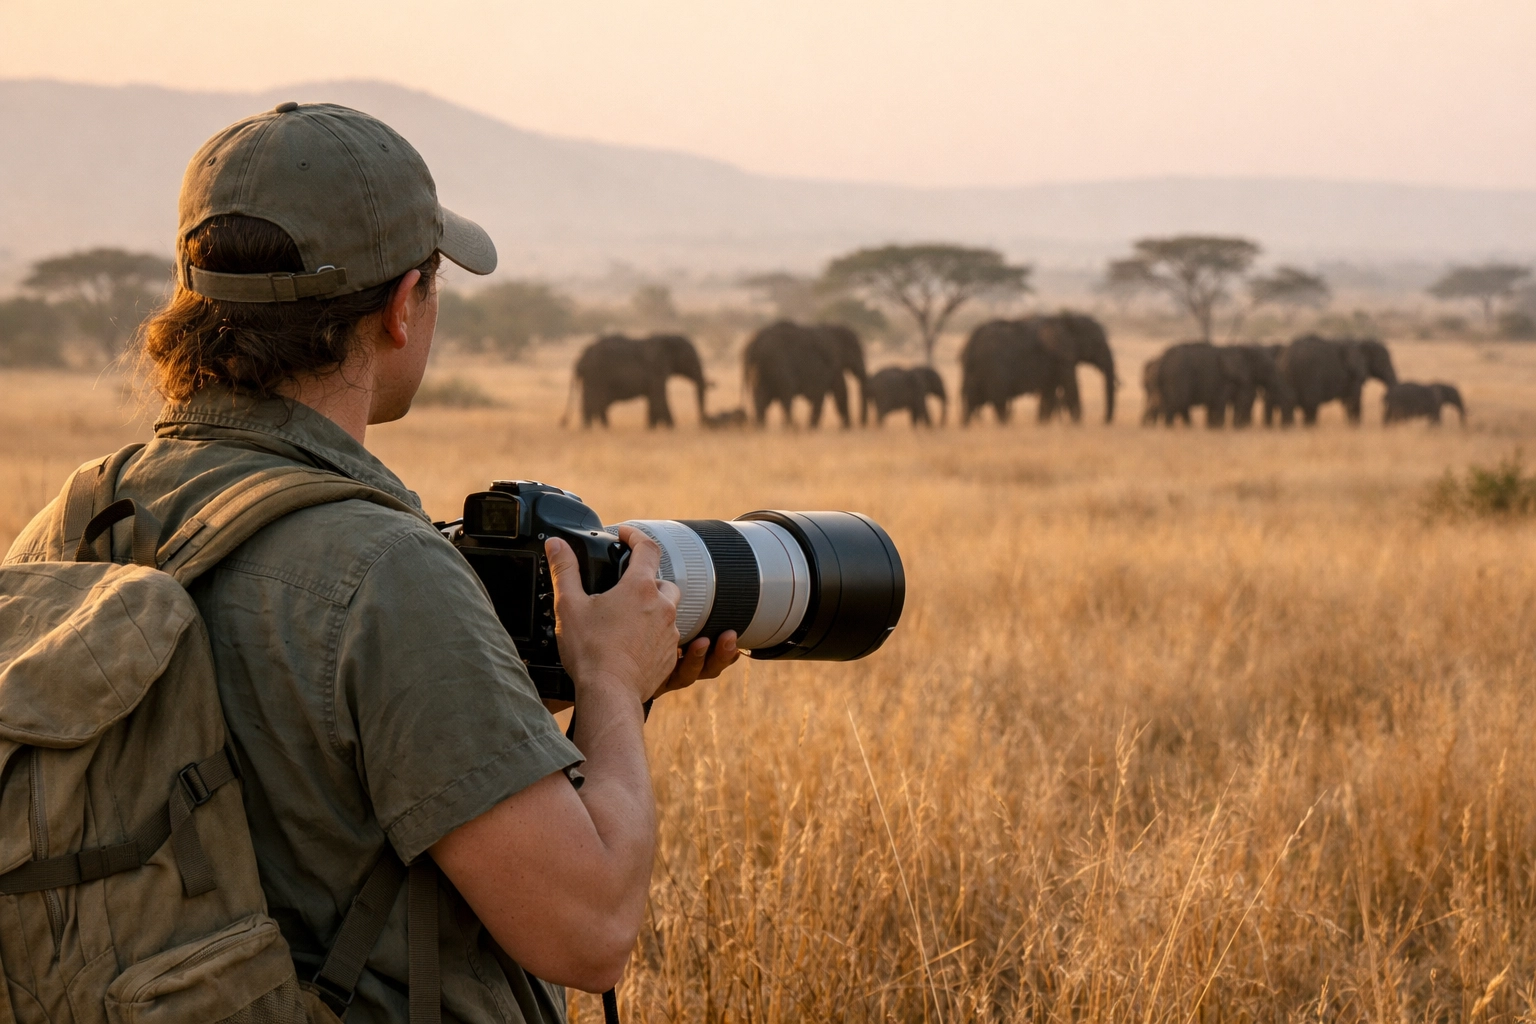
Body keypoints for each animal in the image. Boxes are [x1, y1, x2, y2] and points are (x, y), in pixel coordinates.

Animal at [564, 333, 706, 428]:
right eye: (691, 358)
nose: (704, 423)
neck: (668, 337)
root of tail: (580, 360)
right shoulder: (657, 367)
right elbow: (659, 397)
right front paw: (671, 429)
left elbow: (653, 399)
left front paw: (652, 429)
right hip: (595, 376)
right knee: (594, 402)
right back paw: (591, 429)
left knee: (596, 403)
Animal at [1266, 335, 1397, 426]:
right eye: (1383, 361)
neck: (1362, 341)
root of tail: (1283, 359)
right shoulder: (1354, 373)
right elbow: (1354, 399)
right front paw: (1355, 428)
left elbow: (1349, 401)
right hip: (1307, 376)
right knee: (1310, 405)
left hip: (1284, 376)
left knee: (1289, 403)